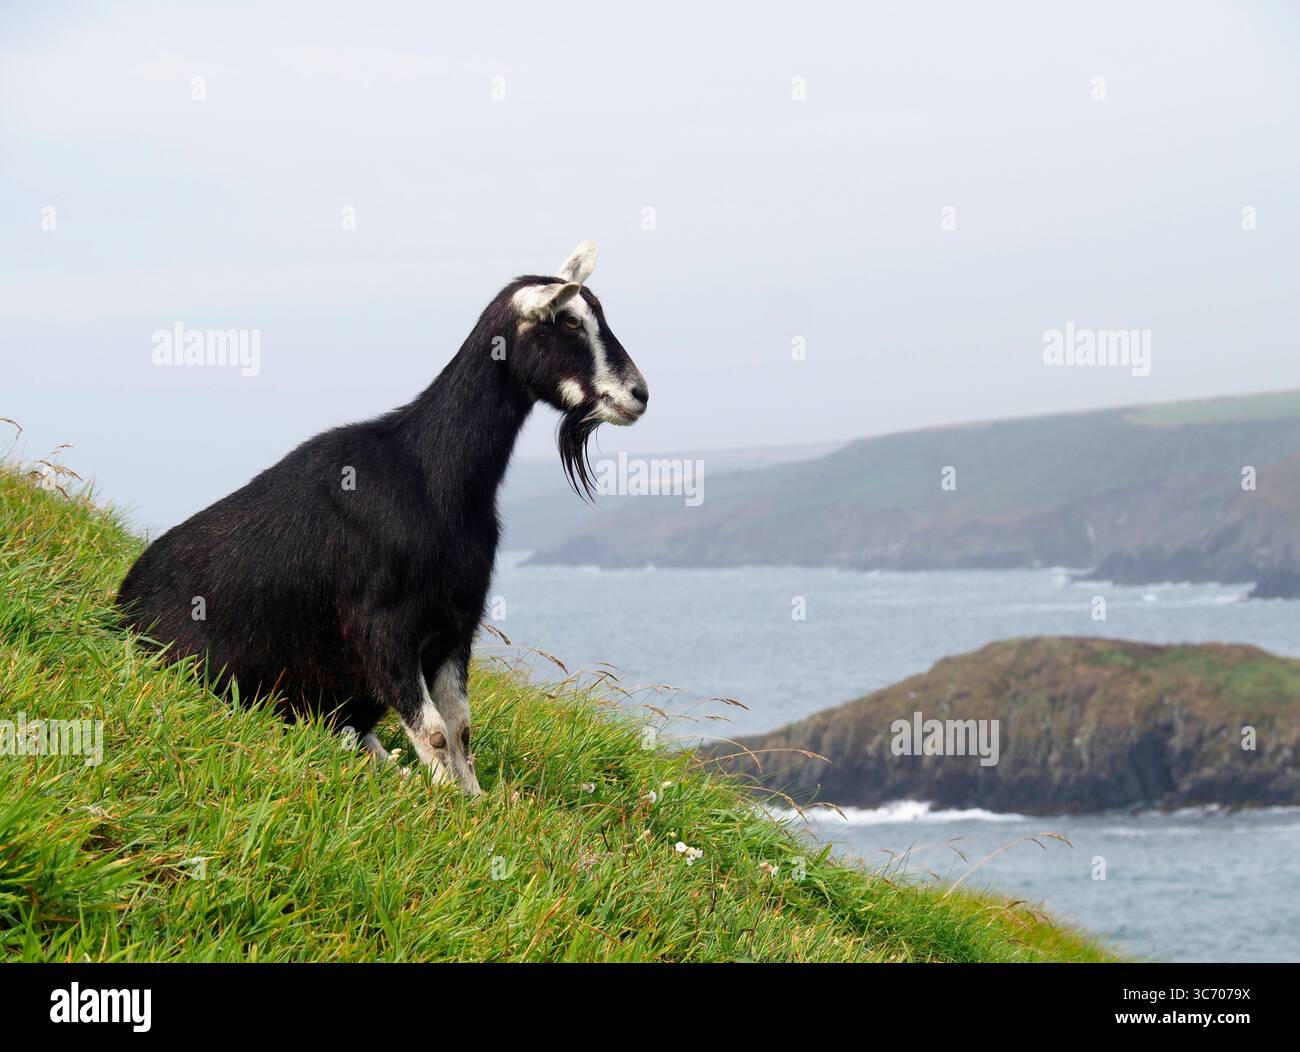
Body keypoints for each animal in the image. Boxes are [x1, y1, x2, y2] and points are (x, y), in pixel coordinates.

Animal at [116, 241, 648, 794]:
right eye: (569, 322)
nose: (639, 395)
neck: (432, 477)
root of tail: (121, 604)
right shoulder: (383, 629)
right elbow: (434, 730)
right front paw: (448, 800)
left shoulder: (457, 624)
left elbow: (459, 726)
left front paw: (476, 798)